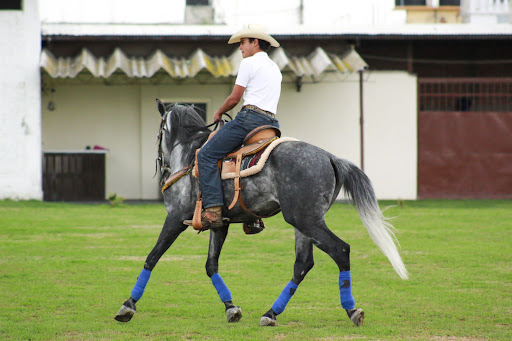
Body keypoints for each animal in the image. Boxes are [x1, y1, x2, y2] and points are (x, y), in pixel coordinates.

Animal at [115, 100, 408, 326]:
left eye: (159, 132)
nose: (161, 165)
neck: (188, 156)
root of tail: (330, 157)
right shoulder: (219, 223)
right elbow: (211, 265)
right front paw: (231, 307)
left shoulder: (175, 217)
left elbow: (152, 257)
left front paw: (128, 305)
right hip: (304, 224)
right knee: (302, 265)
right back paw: (271, 313)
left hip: (306, 220)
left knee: (340, 250)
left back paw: (351, 309)